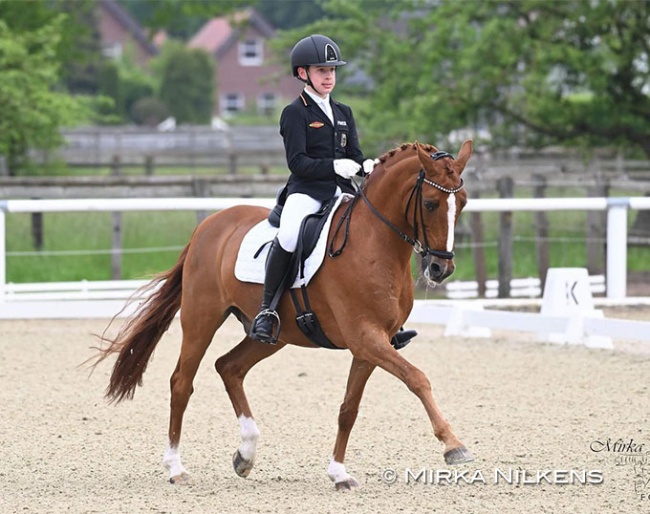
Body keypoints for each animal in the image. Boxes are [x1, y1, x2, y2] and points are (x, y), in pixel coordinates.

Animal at [91, 139, 474, 488]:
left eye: (463, 203)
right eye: (430, 203)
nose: (441, 269)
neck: (374, 243)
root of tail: (208, 224)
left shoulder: (371, 344)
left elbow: (348, 409)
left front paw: (338, 473)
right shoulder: (366, 337)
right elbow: (417, 378)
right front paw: (454, 446)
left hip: (273, 334)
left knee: (229, 367)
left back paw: (245, 454)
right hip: (202, 319)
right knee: (182, 382)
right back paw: (176, 468)